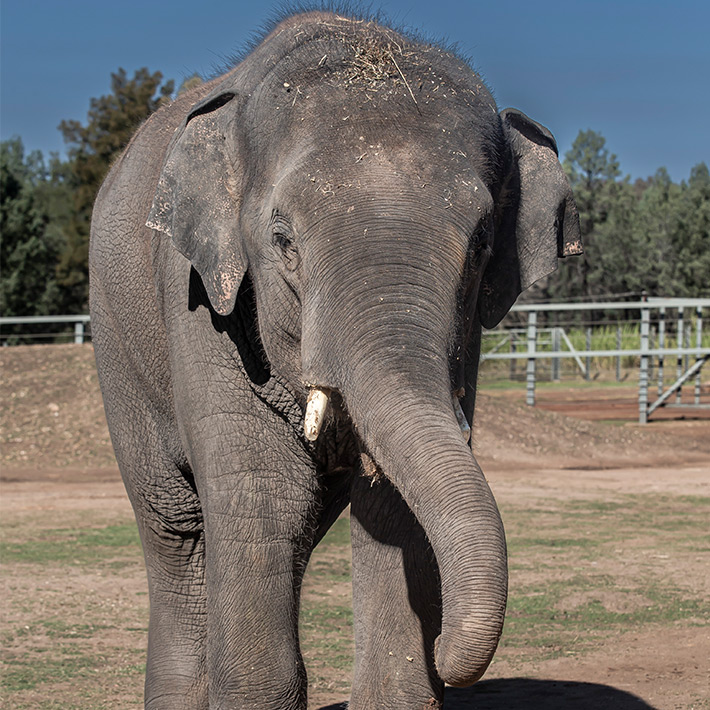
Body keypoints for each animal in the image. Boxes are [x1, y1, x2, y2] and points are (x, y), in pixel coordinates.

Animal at [89, 10, 582, 710]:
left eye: (484, 242)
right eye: (283, 241)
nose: (446, 648)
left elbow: (393, 510)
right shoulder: (198, 303)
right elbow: (262, 499)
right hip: (118, 354)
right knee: (178, 530)